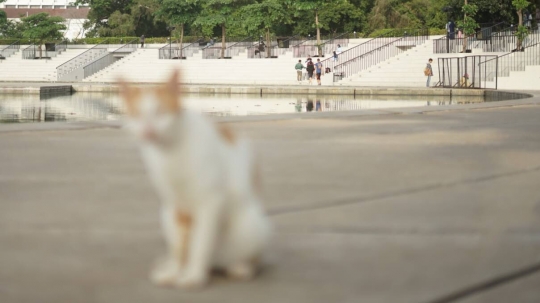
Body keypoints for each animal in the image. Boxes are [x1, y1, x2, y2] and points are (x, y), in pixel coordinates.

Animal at [117, 71, 270, 290]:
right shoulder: (176, 205)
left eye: (161, 112)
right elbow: (180, 247)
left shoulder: (210, 202)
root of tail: (217, 263)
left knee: (253, 257)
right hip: (165, 214)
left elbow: (201, 243)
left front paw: (193, 277)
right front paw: (175, 272)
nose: (148, 131)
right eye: (137, 114)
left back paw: (240, 268)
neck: (169, 154)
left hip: (252, 224)